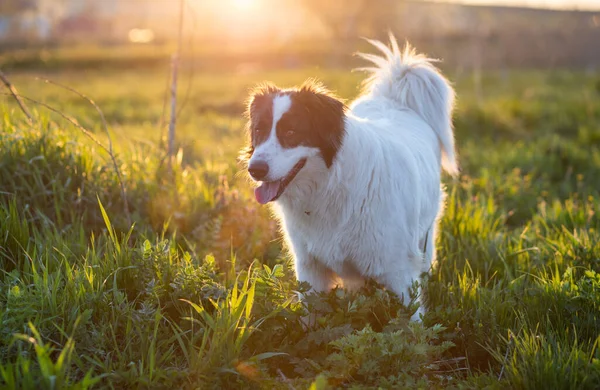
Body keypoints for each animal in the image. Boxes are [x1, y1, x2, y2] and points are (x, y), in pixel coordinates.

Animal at [241, 35, 458, 320]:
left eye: (290, 132)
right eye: (259, 130)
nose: (254, 169)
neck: (328, 186)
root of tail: (395, 99)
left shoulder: (400, 270)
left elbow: (412, 323)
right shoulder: (310, 267)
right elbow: (310, 319)